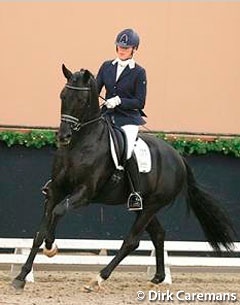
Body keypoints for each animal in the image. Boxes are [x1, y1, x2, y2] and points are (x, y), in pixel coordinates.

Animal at [11, 64, 234, 290]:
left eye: (82, 100)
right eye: (62, 96)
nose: (63, 136)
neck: (79, 144)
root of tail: (178, 157)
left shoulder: (84, 194)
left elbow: (57, 212)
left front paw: (51, 248)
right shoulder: (56, 189)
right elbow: (39, 232)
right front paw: (21, 276)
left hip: (152, 205)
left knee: (132, 241)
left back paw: (98, 278)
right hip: (144, 206)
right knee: (158, 234)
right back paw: (157, 277)